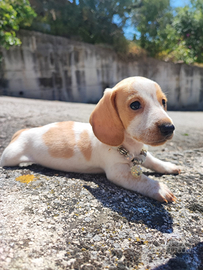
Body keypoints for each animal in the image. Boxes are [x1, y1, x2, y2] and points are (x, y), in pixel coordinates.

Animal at [0, 77, 181, 201]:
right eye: (135, 105)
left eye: (163, 102)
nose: (169, 127)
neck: (129, 146)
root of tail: (21, 131)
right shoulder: (118, 173)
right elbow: (142, 179)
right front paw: (158, 188)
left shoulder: (142, 154)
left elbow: (154, 161)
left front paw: (168, 166)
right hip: (11, 156)